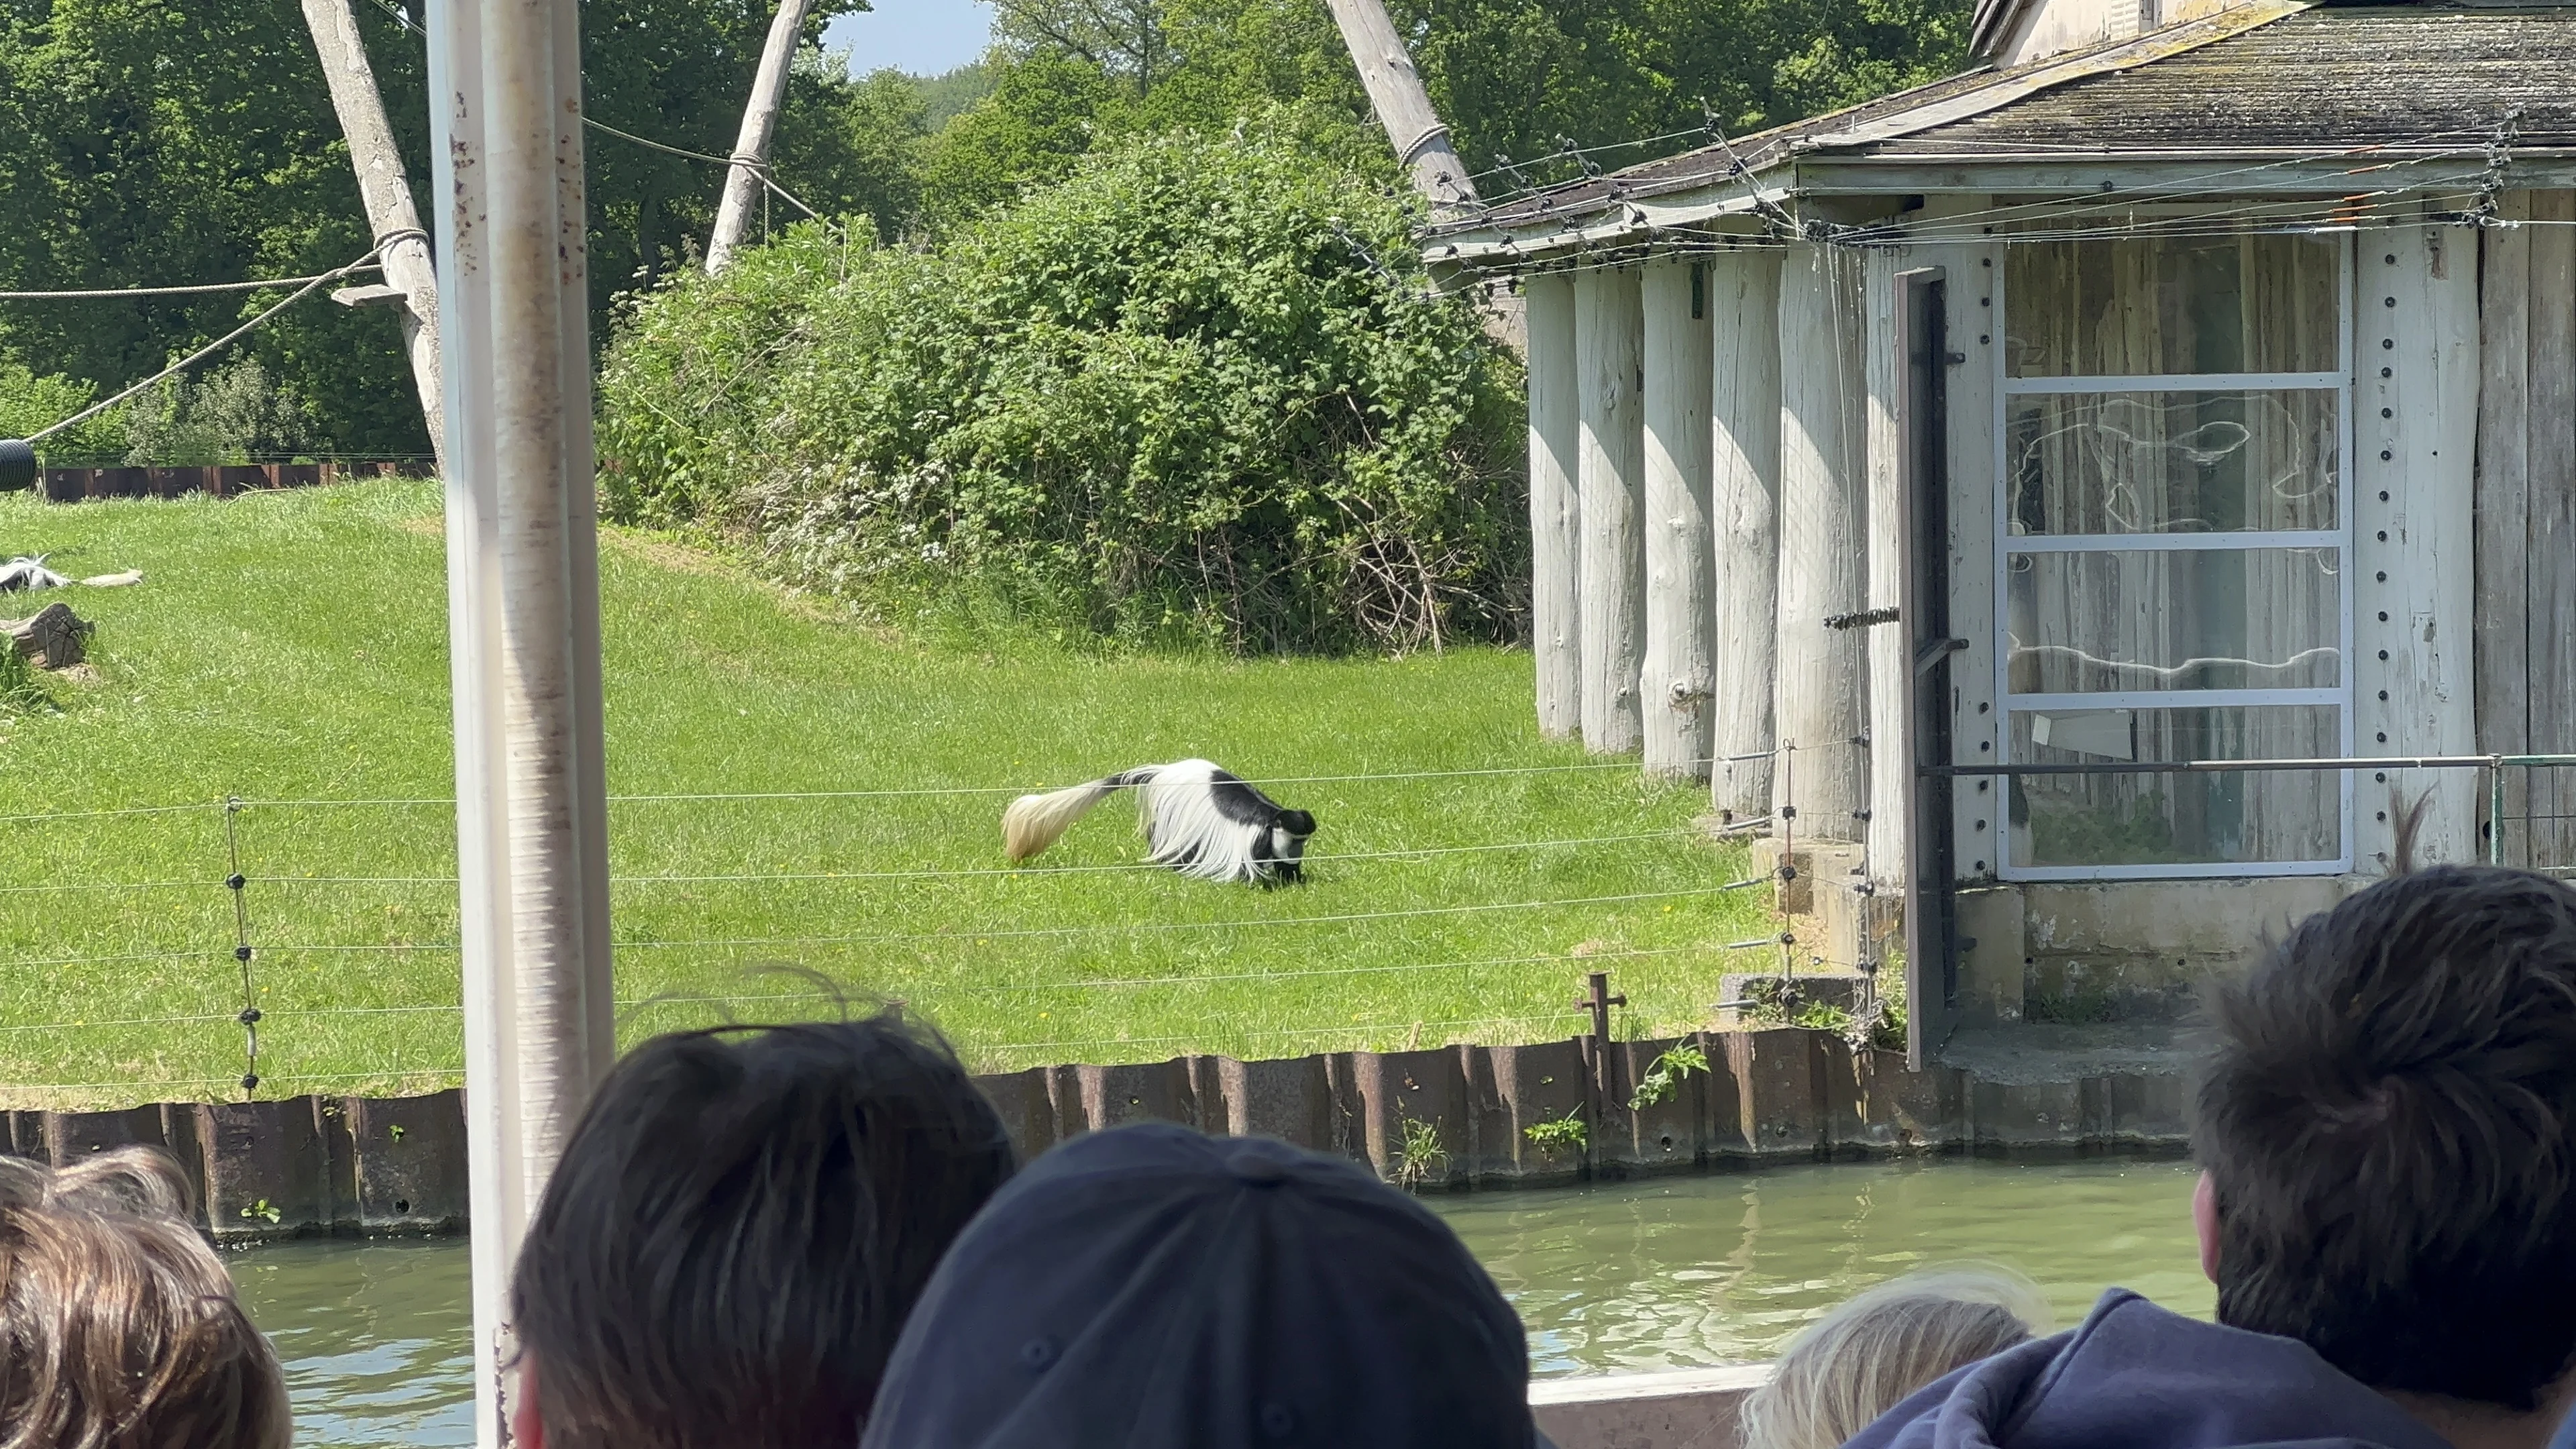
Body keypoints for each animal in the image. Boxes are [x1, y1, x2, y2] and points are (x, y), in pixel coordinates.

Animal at [1001, 759, 1316, 885]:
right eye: (1297, 840)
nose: (1299, 852)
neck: (1270, 818)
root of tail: (1165, 771)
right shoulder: (1255, 840)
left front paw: (1293, 879)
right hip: (1172, 815)